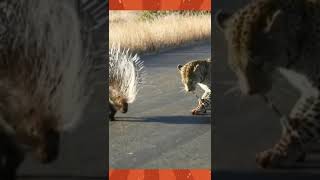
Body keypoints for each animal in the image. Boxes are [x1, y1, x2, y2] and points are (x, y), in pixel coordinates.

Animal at [216, 0, 320, 169]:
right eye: (234, 66)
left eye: (260, 63)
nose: (251, 92)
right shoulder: (309, 90)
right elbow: (298, 113)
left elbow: (307, 124)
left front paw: (280, 152)